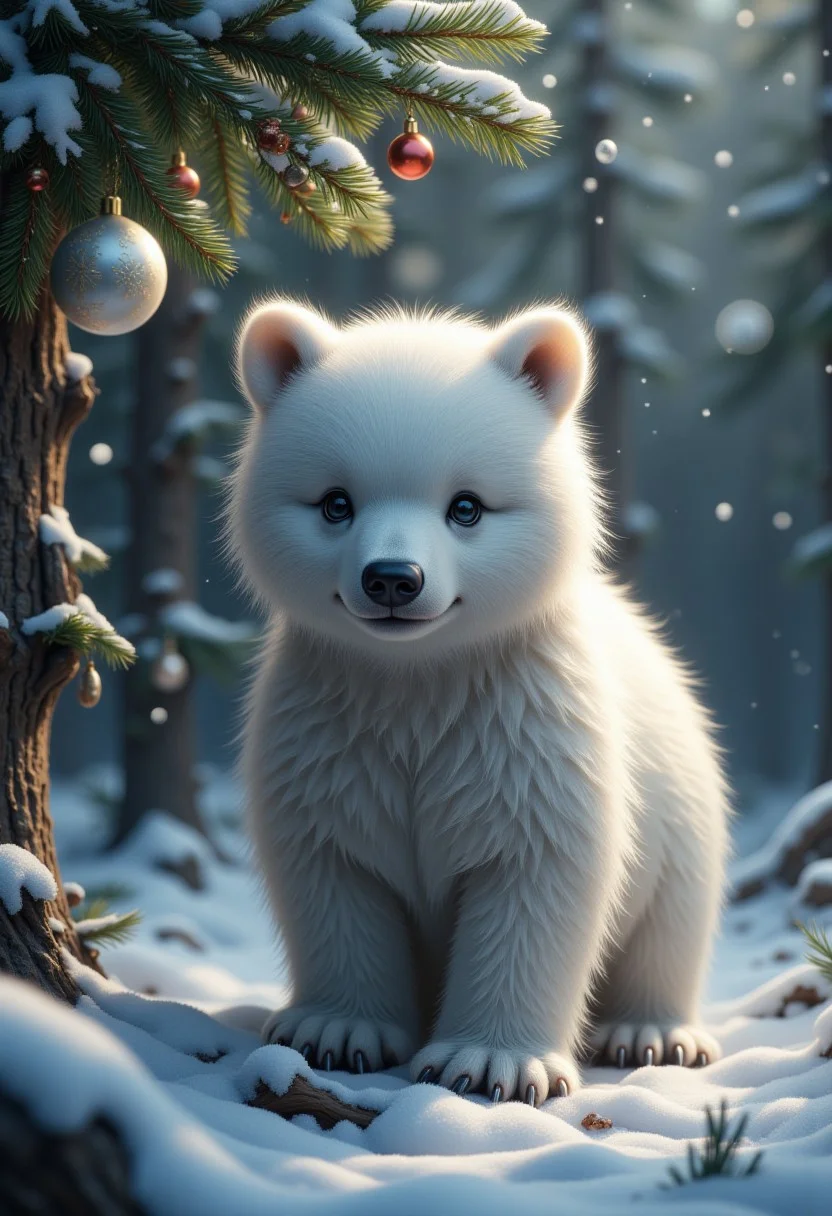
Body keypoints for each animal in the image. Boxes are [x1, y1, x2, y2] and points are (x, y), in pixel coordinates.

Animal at [226, 297, 730, 1105]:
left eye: (467, 507)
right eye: (335, 503)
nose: (392, 578)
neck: (419, 680)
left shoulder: (526, 732)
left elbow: (535, 878)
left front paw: (490, 1064)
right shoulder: (328, 735)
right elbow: (334, 870)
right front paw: (335, 1031)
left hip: (683, 811)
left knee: (671, 924)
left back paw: (652, 1033)